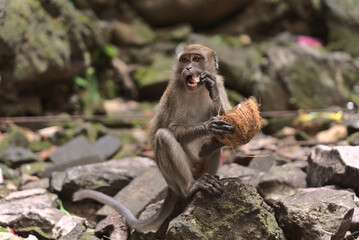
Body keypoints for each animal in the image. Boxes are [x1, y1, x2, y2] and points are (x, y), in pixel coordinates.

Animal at [74, 43, 235, 232]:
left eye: (196, 59)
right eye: (184, 60)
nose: (188, 67)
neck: (197, 91)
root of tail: (172, 187)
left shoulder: (220, 82)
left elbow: (230, 123)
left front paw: (213, 92)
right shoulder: (176, 91)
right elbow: (171, 128)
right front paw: (208, 126)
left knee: (216, 144)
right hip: (175, 176)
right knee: (163, 137)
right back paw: (190, 188)